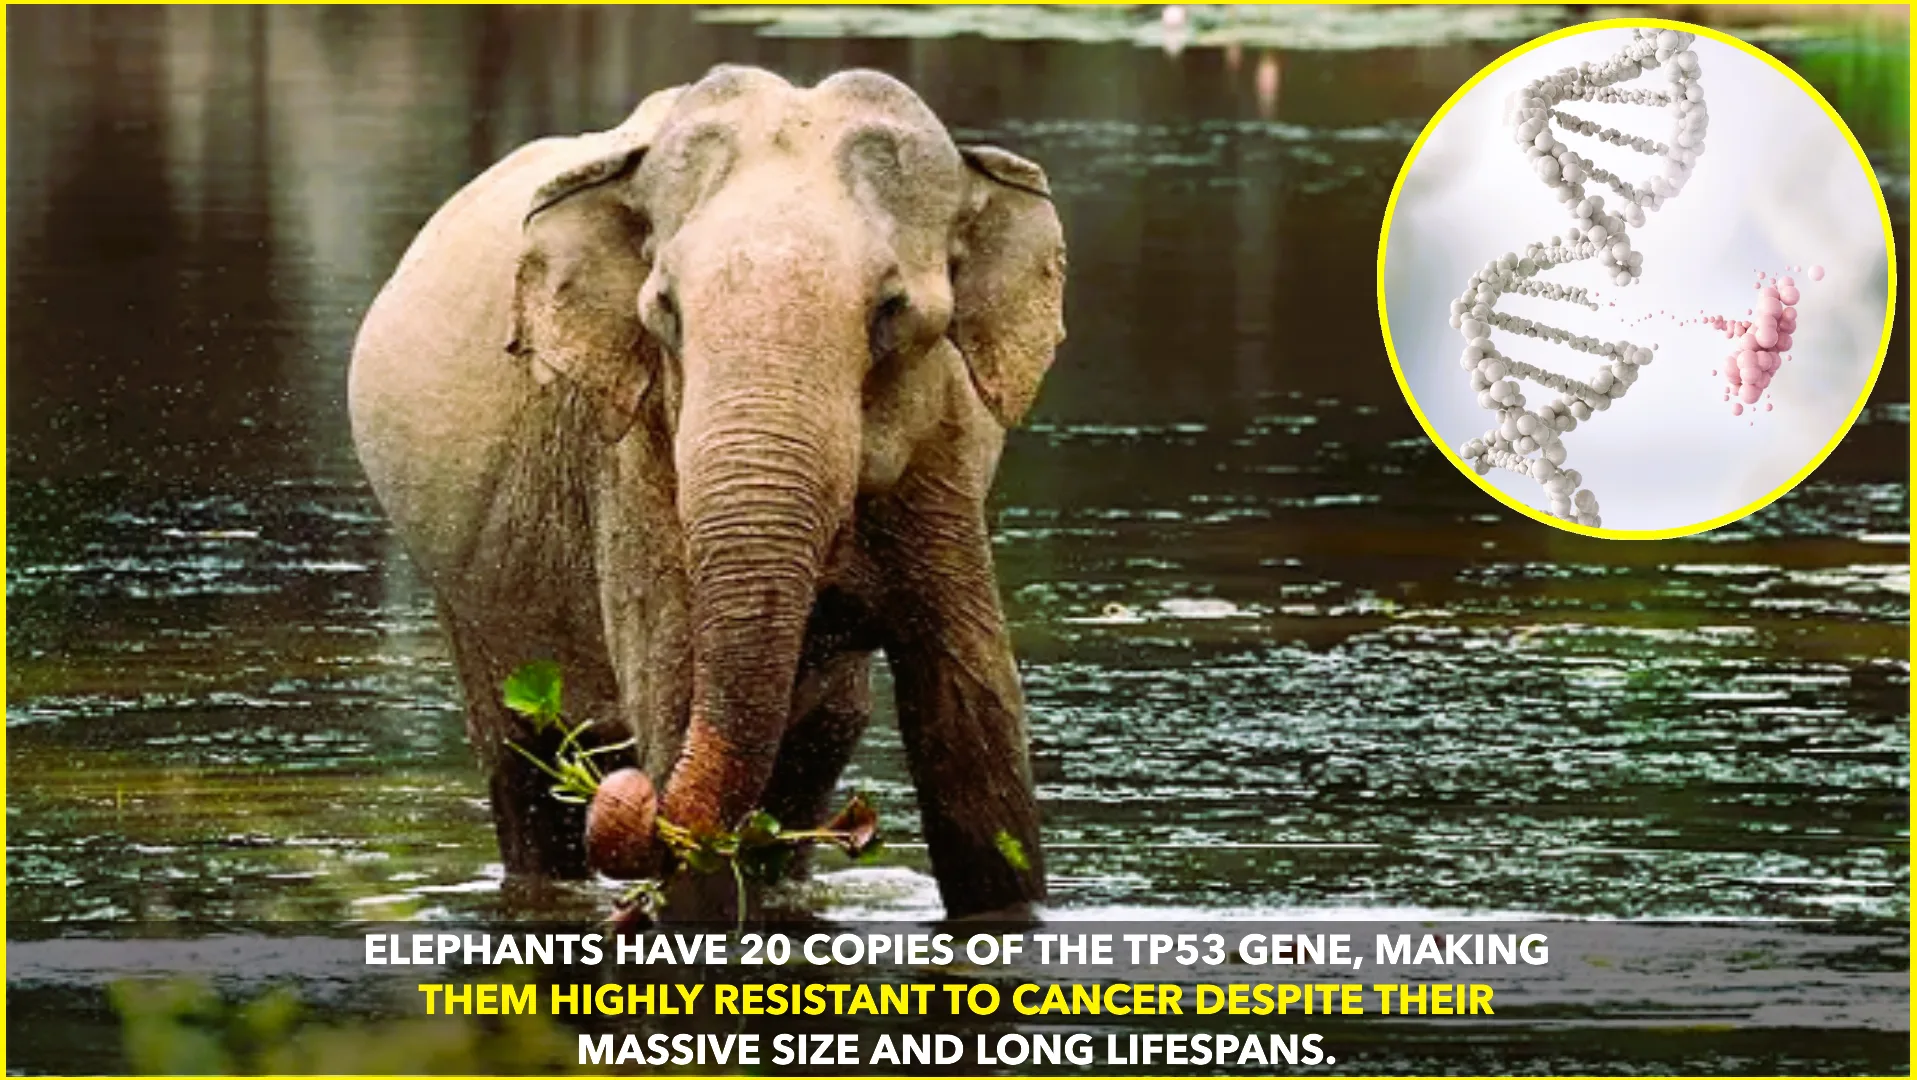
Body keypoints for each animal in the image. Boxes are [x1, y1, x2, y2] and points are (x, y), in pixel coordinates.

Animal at [347, 65, 1065, 918]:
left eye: (891, 311)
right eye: (665, 311)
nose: (628, 800)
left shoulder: (943, 461)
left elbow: (974, 728)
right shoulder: (629, 461)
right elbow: (671, 700)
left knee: (820, 739)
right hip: (469, 598)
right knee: (522, 764)